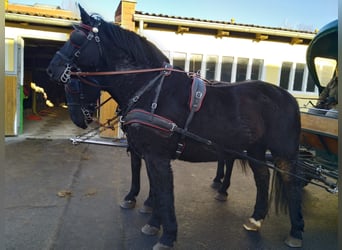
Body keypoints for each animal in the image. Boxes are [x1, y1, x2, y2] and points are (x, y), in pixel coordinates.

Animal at [46, 5, 304, 248]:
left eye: (77, 39)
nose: (51, 69)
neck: (151, 89)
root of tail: (288, 97)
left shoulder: (157, 156)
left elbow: (164, 193)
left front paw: (167, 235)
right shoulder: (148, 154)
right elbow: (156, 189)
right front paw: (152, 222)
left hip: (282, 153)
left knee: (292, 184)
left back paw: (296, 231)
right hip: (255, 149)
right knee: (262, 176)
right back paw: (256, 219)